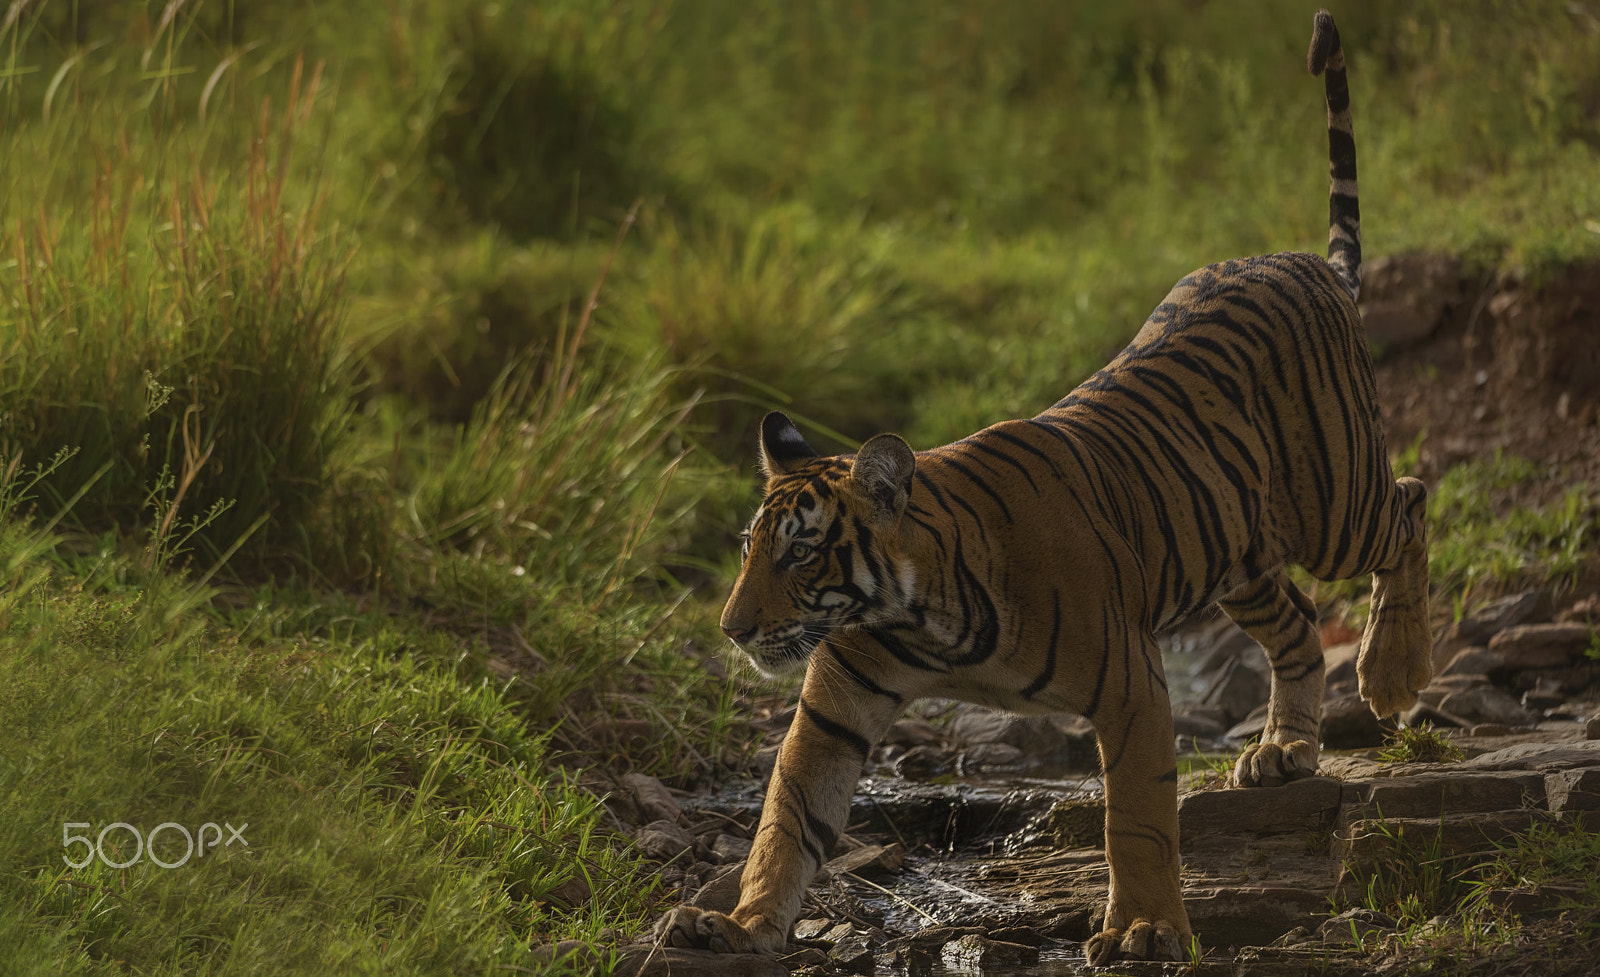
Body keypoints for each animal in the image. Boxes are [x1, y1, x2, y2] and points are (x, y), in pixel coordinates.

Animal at [656, 7, 1433, 965]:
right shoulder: (832, 711)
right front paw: (736, 924)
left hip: (1335, 502)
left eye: (802, 554)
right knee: (1296, 623)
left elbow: (1136, 817)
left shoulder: (1132, 686)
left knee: (1410, 503)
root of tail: (1305, 261)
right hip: (1235, 553)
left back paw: (1393, 674)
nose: (732, 629)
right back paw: (1284, 749)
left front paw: (1143, 929)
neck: (918, 614)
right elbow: (784, 822)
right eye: (749, 551)